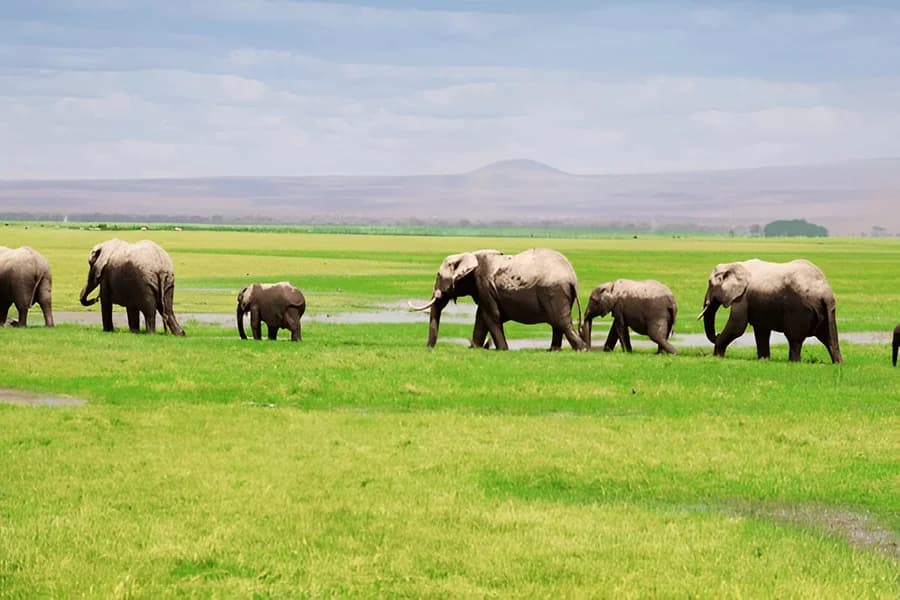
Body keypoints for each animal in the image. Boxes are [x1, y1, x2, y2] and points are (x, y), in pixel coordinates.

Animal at [410, 248, 586, 351]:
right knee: (558, 323)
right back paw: (553, 350)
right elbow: (481, 317)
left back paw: (581, 349)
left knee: (561, 322)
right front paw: (474, 349)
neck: (469, 255)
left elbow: (491, 316)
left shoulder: (484, 285)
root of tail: (572, 278)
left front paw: (502, 350)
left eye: (439, 275)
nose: (429, 348)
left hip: (554, 292)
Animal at [697, 258, 842, 363]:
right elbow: (761, 329)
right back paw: (838, 363)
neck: (733, 265)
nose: (717, 334)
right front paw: (763, 360)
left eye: (710, 284)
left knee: (794, 339)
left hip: (800, 308)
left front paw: (717, 357)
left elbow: (737, 327)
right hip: (828, 311)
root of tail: (825, 293)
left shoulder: (742, 298)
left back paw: (793, 363)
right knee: (830, 339)